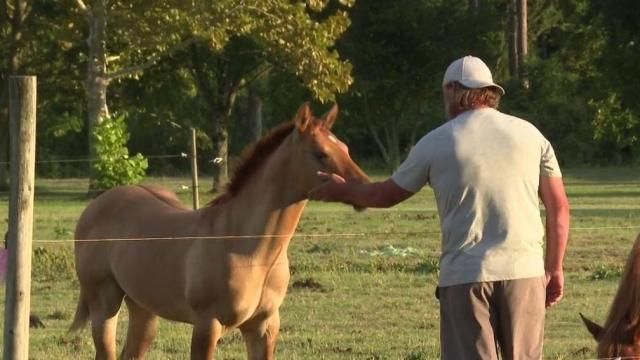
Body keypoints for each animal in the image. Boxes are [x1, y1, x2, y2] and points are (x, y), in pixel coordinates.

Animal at [69, 102, 370, 358]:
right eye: (321, 154)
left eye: (345, 148)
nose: (364, 188)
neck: (249, 250)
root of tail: (95, 207)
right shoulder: (207, 325)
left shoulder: (264, 326)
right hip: (105, 303)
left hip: (143, 308)